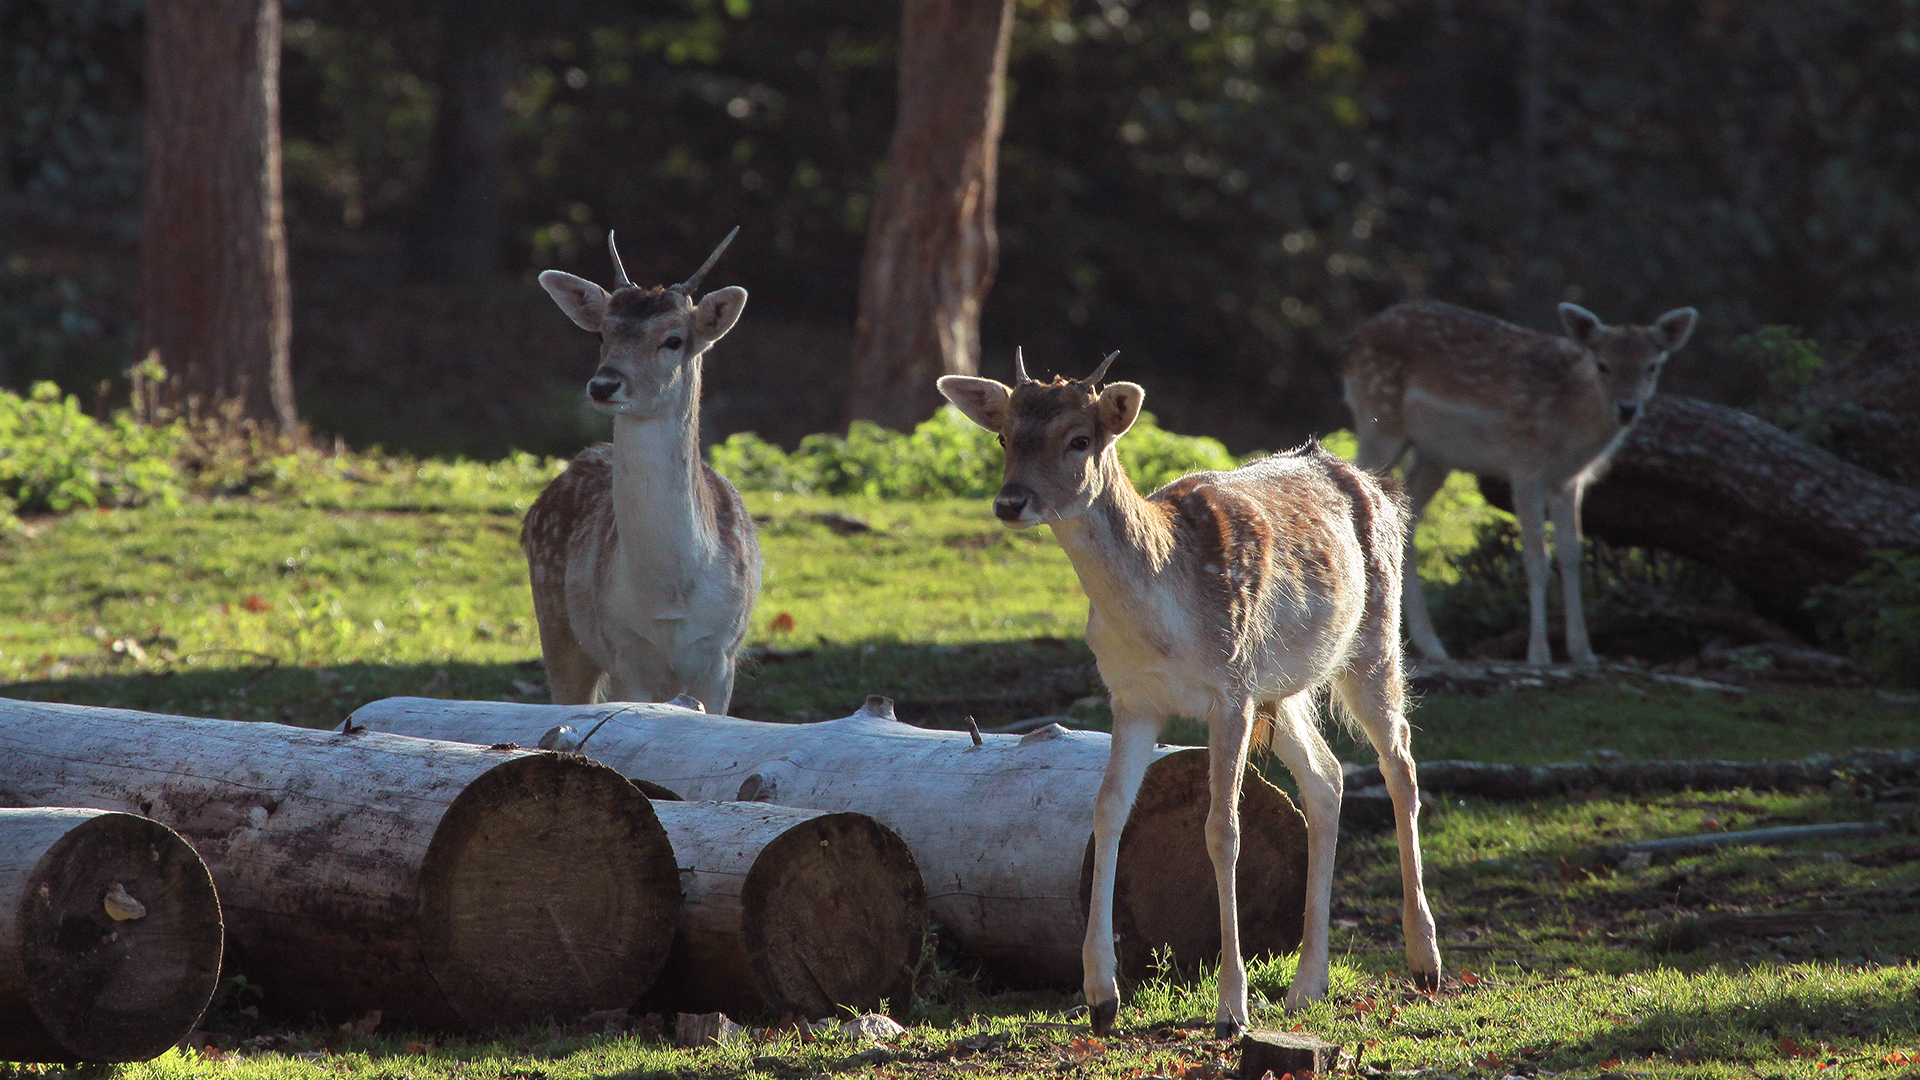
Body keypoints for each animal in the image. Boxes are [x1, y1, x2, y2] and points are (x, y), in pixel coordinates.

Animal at [529, 227, 768, 711]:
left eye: (673, 339)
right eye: (601, 334)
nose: (604, 384)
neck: (666, 601)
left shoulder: (721, 655)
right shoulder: (623, 649)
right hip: (556, 624)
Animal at [936, 353, 1436, 1037]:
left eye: (1079, 439)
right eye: (1004, 436)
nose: (1011, 502)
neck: (1162, 622)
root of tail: (1378, 486)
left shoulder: (1230, 689)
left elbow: (1223, 830)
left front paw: (1232, 1009)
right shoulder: (1131, 697)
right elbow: (1106, 810)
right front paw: (1100, 996)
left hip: (1373, 642)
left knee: (1401, 765)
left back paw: (1424, 962)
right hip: (1283, 686)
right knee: (1327, 777)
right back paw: (1308, 986)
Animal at [1336, 295, 1697, 664]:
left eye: (1651, 366)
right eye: (1603, 365)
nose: (1627, 408)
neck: (1570, 427)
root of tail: (1354, 340)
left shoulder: (1570, 480)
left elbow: (1571, 551)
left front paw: (1583, 652)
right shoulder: (1525, 465)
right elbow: (1537, 556)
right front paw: (1538, 654)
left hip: (1434, 455)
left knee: (1406, 519)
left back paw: (1432, 646)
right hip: (1379, 420)